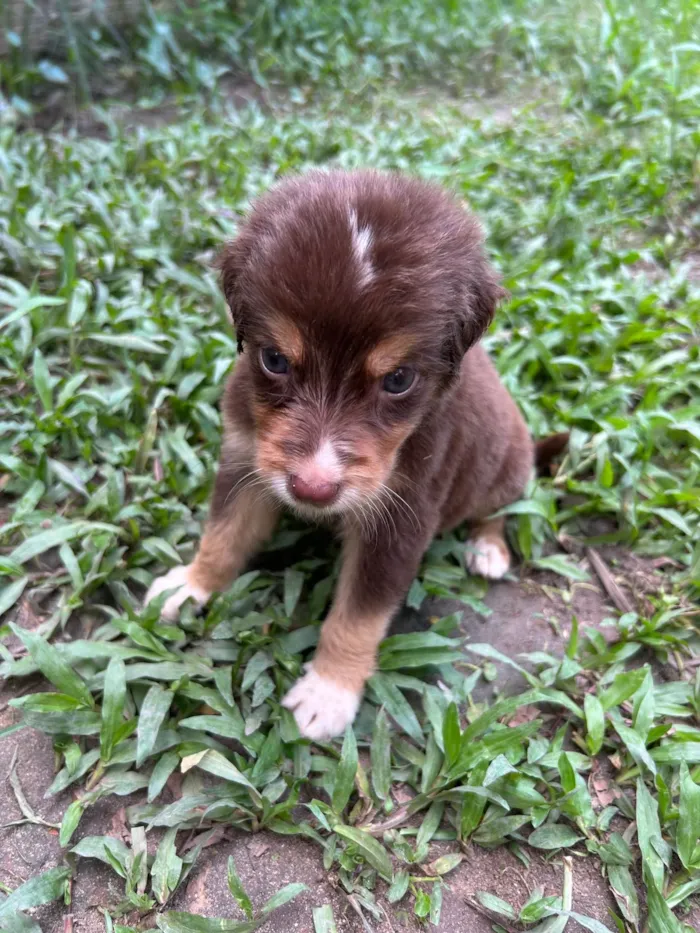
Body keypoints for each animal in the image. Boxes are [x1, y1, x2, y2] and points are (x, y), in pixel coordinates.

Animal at [146, 167, 540, 736]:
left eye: (398, 379)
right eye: (274, 359)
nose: (312, 487)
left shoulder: (400, 517)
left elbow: (357, 618)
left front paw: (328, 692)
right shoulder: (244, 459)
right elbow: (222, 536)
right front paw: (191, 586)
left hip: (508, 464)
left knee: (498, 509)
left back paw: (487, 549)